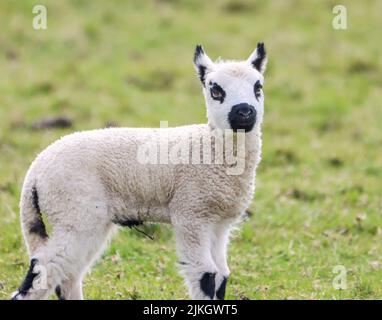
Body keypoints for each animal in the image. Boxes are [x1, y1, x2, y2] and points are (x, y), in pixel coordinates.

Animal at [12, 43, 268, 300]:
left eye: (258, 87)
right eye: (215, 90)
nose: (244, 112)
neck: (210, 150)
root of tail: (35, 171)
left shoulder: (219, 222)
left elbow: (222, 274)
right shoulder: (191, 213)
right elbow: (206, 273)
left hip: (88, 219)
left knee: (68, 276)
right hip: (73, 211)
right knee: (45, 269)